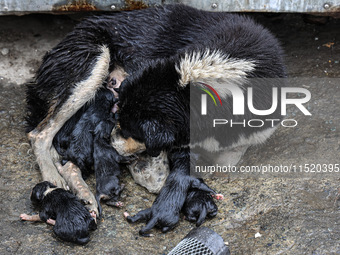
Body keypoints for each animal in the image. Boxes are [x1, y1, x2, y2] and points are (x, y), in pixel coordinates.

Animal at [25, 3, 284, 235]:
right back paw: (59, 181)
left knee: (65, 158)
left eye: (131, 130)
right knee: (40, 134)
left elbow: (226, 158)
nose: (107, 143)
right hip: (94, 63)